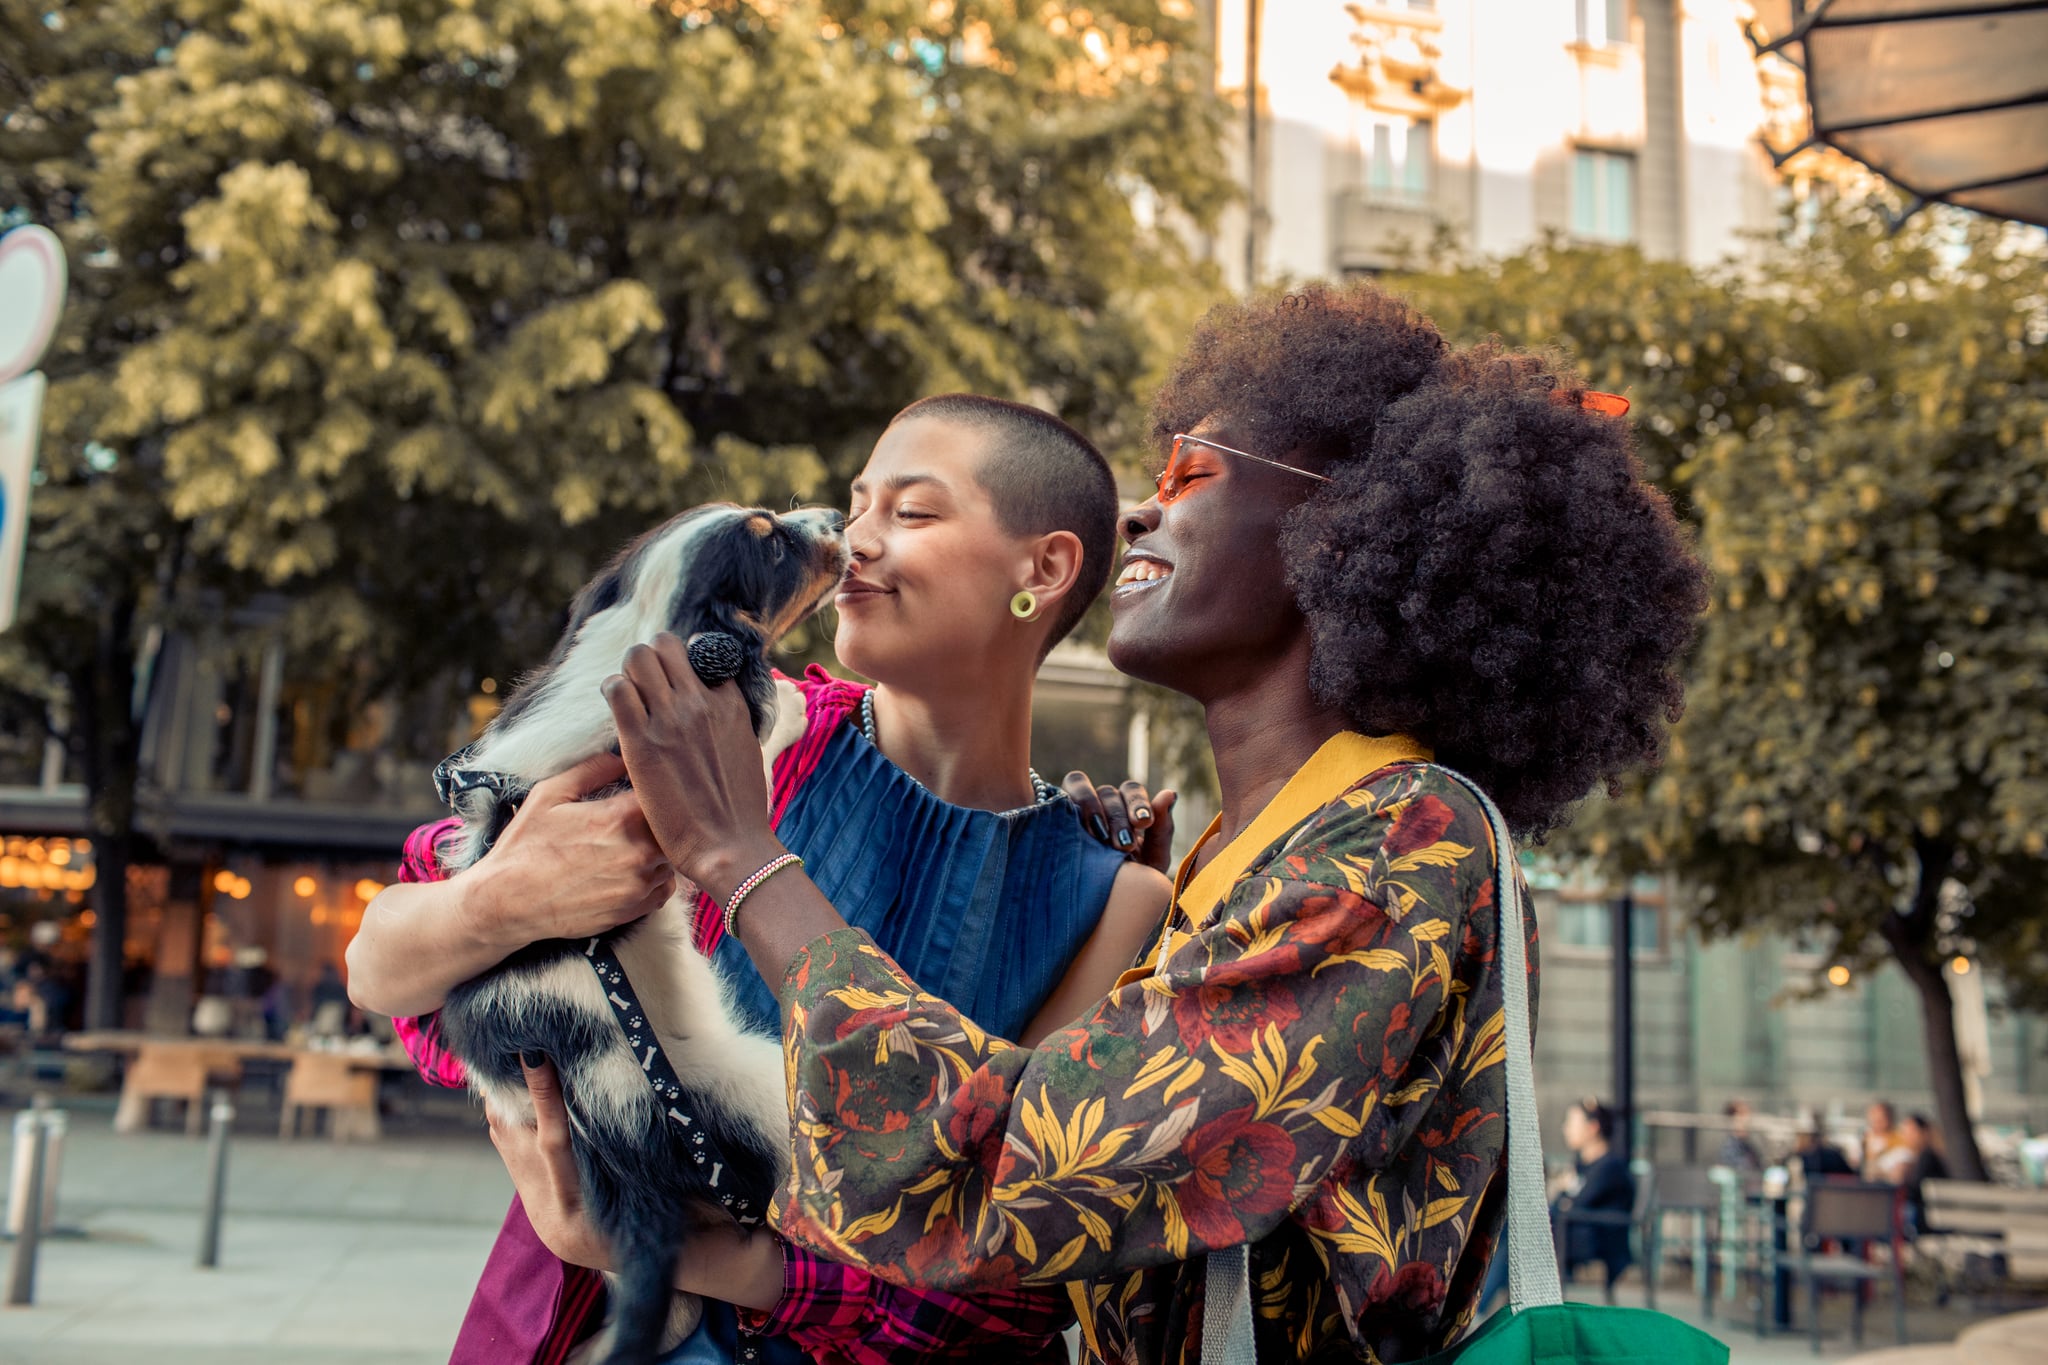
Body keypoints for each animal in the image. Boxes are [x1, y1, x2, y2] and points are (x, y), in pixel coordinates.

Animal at [432, 505, 847, 1365]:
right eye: (772, 541)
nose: (838, 515)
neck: (638, 636)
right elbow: (762, 734)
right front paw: (792, 698)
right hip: (757, 1093)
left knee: (672, 1303)